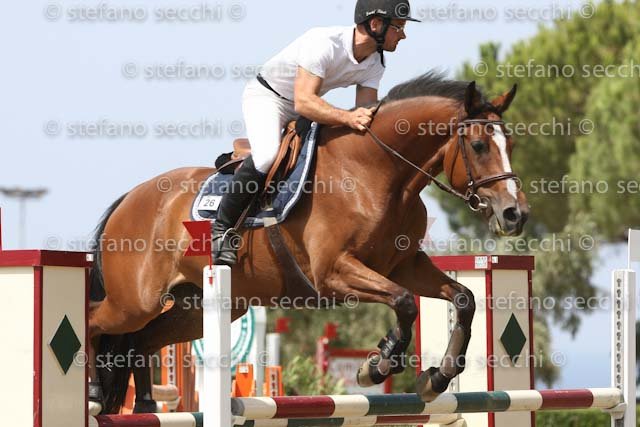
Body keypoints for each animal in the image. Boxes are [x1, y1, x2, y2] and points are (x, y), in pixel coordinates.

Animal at [88, 73, 529, 413]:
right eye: (479, 146)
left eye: (511, 144)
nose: (515, 214)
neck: (376, 173)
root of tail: (128, 200)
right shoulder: (333, 273)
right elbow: (404, 302)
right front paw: (378, 365)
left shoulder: (404, 265)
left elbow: (463, 299)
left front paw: (437, 378)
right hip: (135, 302)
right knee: (95, 323)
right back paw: (92, 393)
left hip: (198, 308)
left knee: (142, 341)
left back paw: (144, 405)